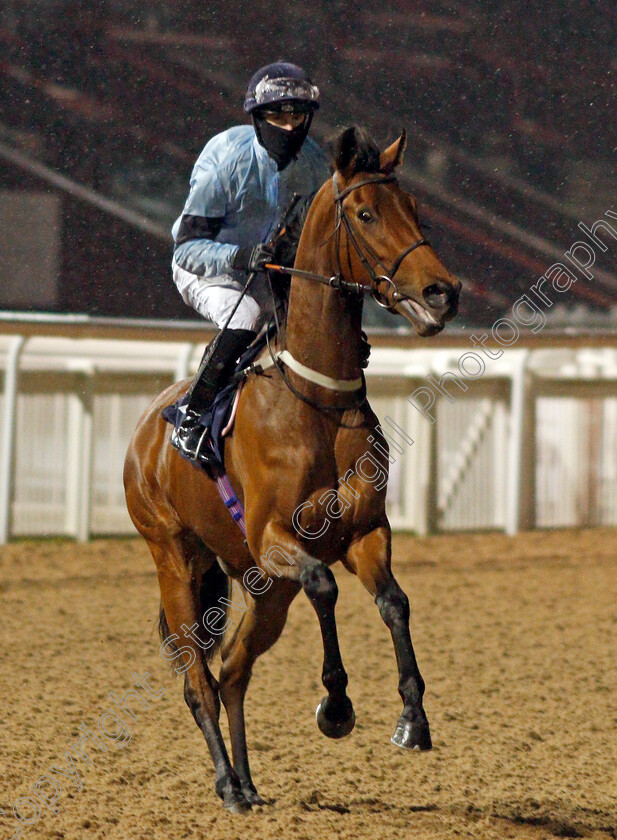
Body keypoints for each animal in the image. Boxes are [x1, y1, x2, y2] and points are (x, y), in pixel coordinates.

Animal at [124, 124, 458, 812]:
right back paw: (227, 783)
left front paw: (412, 718)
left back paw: (249, 784)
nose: (442, 292)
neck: (317, 400)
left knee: (232, 672)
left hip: (261, 588)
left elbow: (395, 602)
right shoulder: (275, 539)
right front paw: (336, 705)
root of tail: (146, 429)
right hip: (176, 561)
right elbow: (326, 588)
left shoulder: (364, 531)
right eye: (366, 214)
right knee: (199, 679)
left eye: (415, 208)